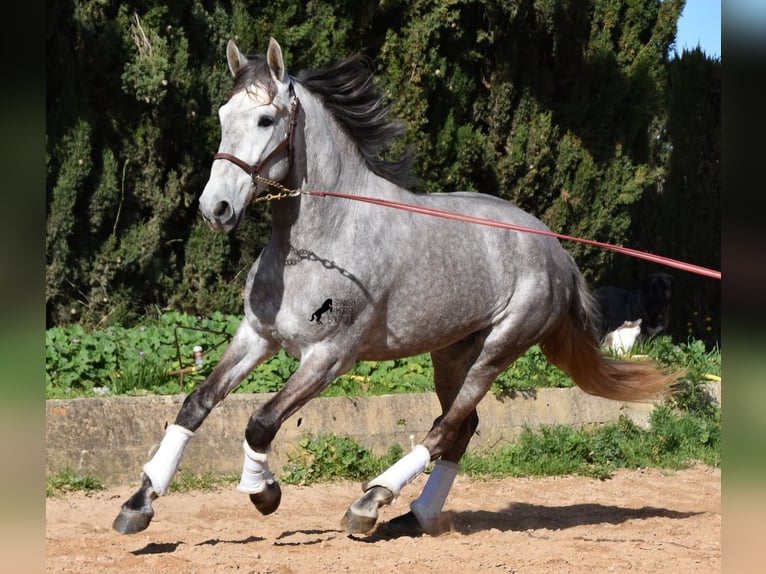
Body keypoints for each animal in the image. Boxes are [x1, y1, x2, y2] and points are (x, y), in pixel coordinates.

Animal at [114, 38, 680, 536]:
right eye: (222, 115)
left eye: (266, 119)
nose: (216, 209)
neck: (323, 237)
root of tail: (556, 251)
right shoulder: (258, 335)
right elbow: (196, 403)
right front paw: (138, 505)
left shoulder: (329, 357)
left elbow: (260, 421)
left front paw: (264, 493)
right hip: (452, 353)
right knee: (461, 430)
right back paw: (415, 516)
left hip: (498, 349)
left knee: (445, 428)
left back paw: (369, 504)